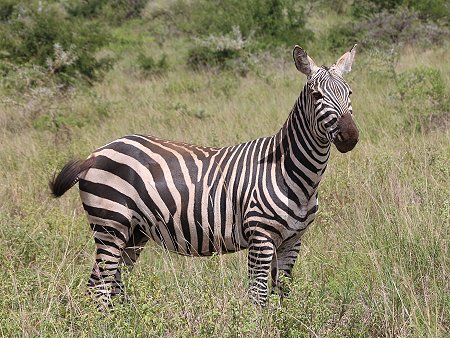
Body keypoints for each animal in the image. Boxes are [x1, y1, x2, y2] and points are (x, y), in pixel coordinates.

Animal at [49, 45, 358, 306]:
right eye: (317, 96)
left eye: (350, 93)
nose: (350, 136)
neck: (289, 171)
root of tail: (95, 153)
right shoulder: (260, 237)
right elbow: (258, 297)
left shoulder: (292, 241)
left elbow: (282, 295)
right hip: (110, 225)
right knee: (98, 287)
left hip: (133, 232)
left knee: (113, 283)